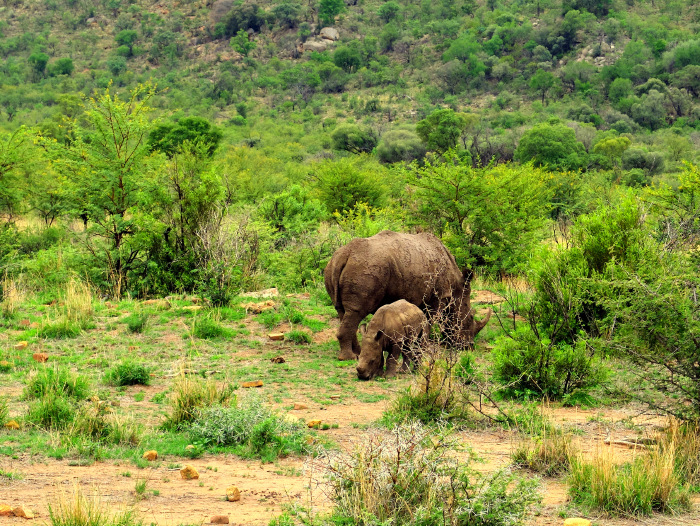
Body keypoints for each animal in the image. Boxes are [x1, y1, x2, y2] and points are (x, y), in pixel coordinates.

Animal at [324, 230, 492, 360]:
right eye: (470, 317)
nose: (468, 346)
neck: (455, 288)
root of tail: (344, 255)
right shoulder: (437, 298)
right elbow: (430, 321)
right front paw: (426, 347)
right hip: (364, 268)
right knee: (356, 312)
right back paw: (349, 357)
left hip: (333, 266)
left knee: (343, 311)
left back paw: (357, 353)